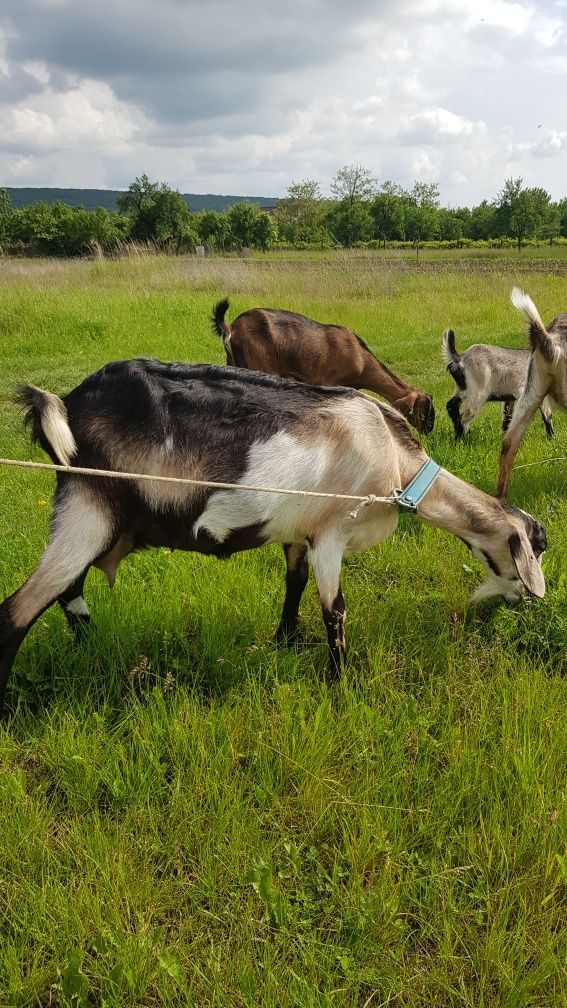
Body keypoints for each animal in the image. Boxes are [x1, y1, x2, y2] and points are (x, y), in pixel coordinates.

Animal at [0, 358, 544, 713]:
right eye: (533, 550)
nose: (522, 603)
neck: (396, 461)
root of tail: (65, 405)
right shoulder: (329, 534)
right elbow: (335, 612)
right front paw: (339, 686)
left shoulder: (297, 534)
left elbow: (294, 585)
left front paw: (284, 641)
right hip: (89, 510)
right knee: (18, 610)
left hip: (90, 519)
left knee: (69, 591)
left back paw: (94, 648)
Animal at [210, 296, 431, 431]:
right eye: (426, 409)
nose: (428, 431)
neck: (361, 359)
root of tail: (231, 328)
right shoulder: (329, 381)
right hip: (257, 366)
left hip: (232, 362)